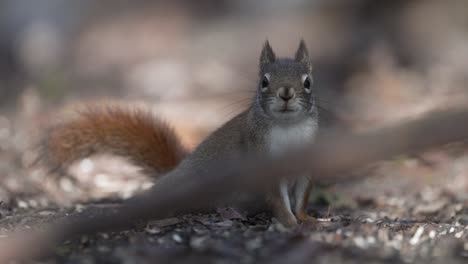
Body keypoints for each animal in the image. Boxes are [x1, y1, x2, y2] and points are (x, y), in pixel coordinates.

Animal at [38, 40, 320, 227]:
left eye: (308, 82)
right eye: (264, 81)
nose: (286, 93)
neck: (288, 127)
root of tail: (175, 172)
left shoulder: (306, 164)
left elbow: (301, 197)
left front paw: (308, 219)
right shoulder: (263, 160)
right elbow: (278, 198)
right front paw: (290, 222)